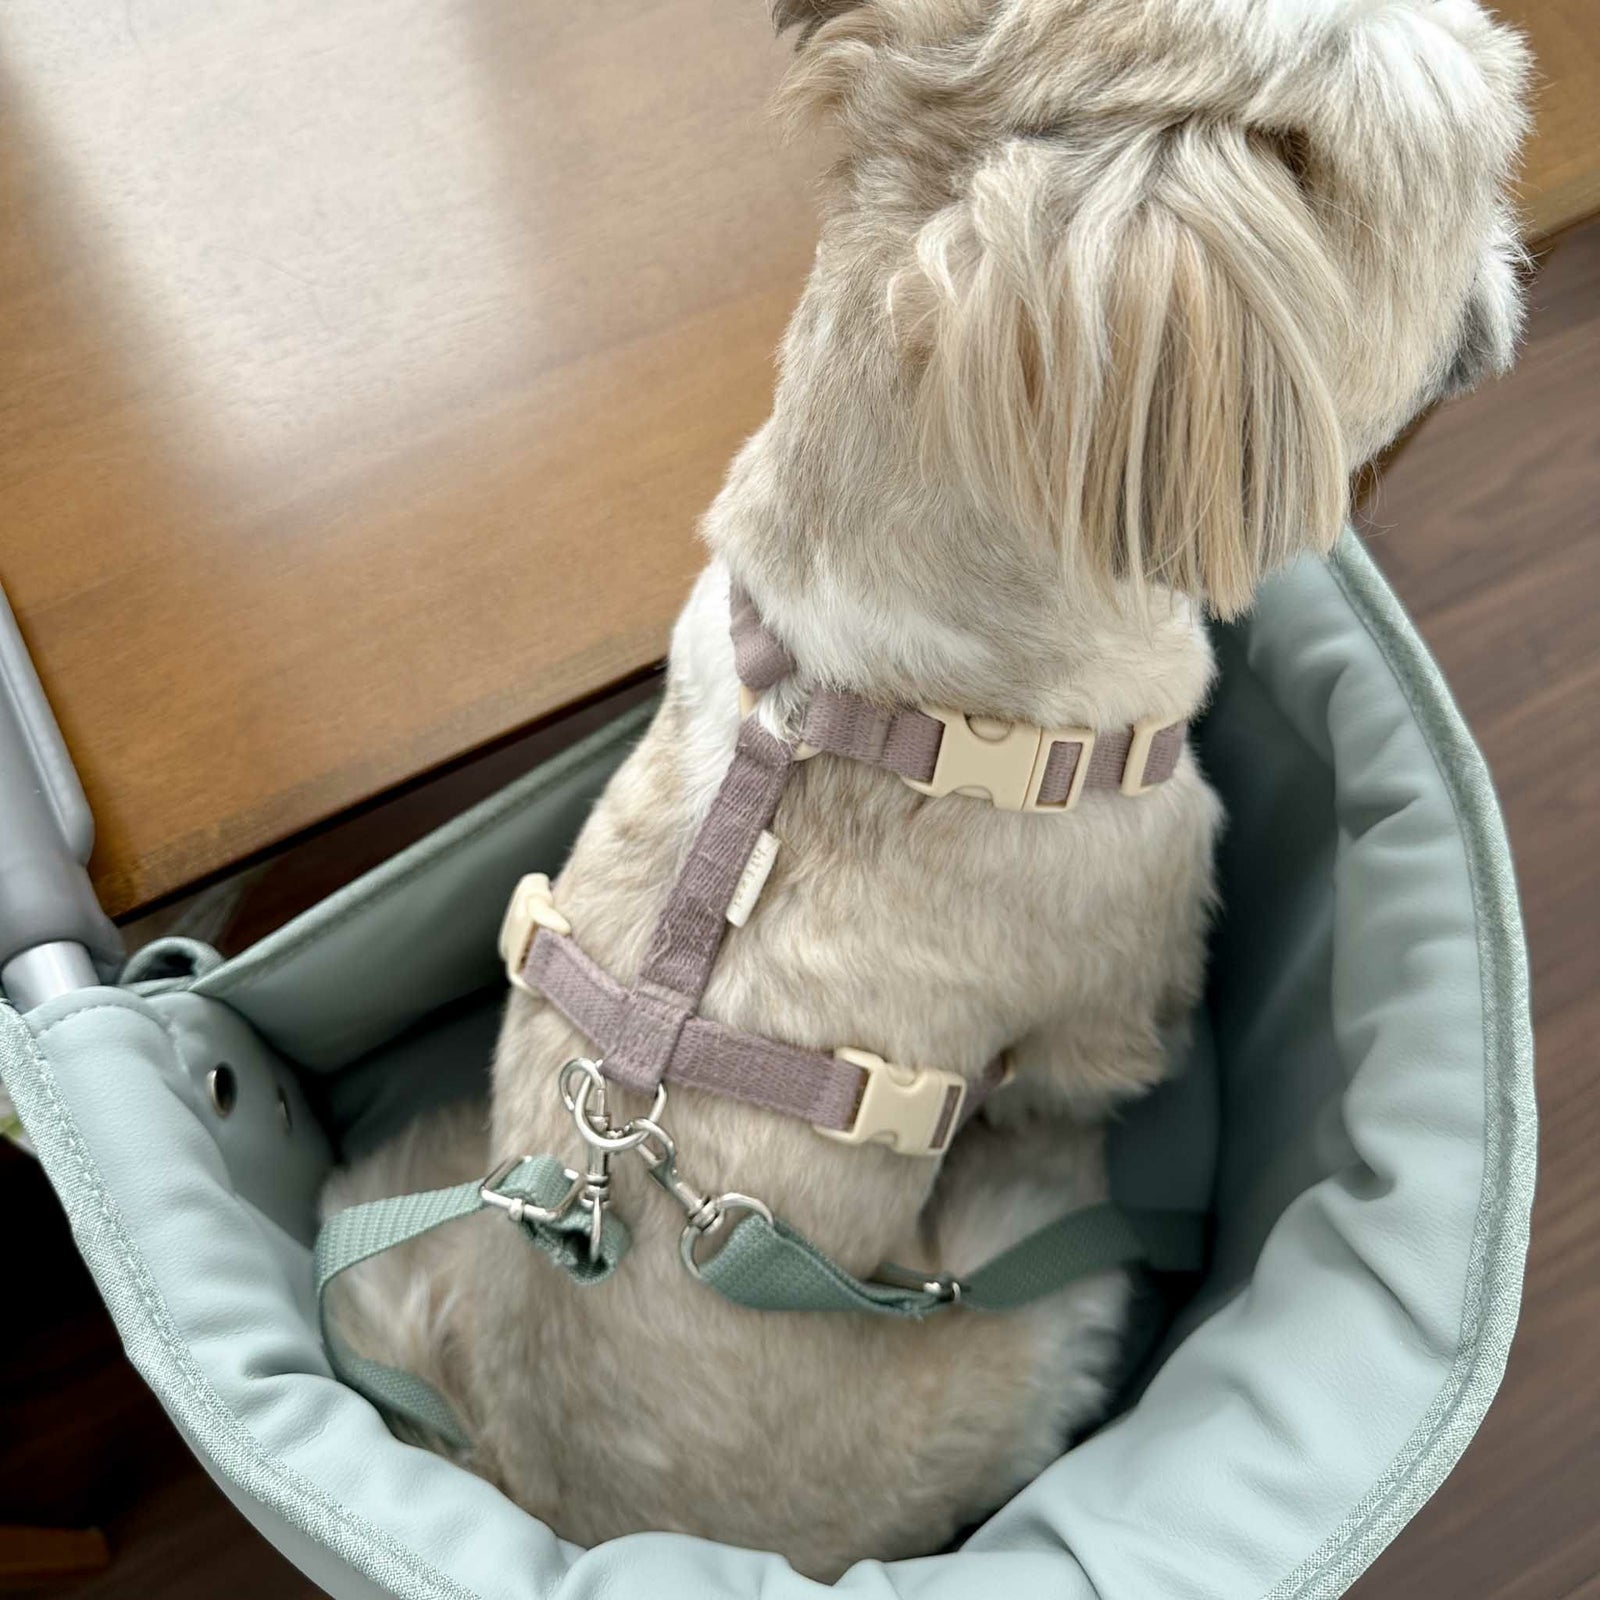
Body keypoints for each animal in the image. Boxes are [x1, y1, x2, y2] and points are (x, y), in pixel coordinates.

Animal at [325, 0, 1528, 1576]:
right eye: (1488, 159)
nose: (1511, 260)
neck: (864, 690)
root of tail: (567, 1504)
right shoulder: (1122, 969)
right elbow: (1110, 1043)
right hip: (1027, 1301)